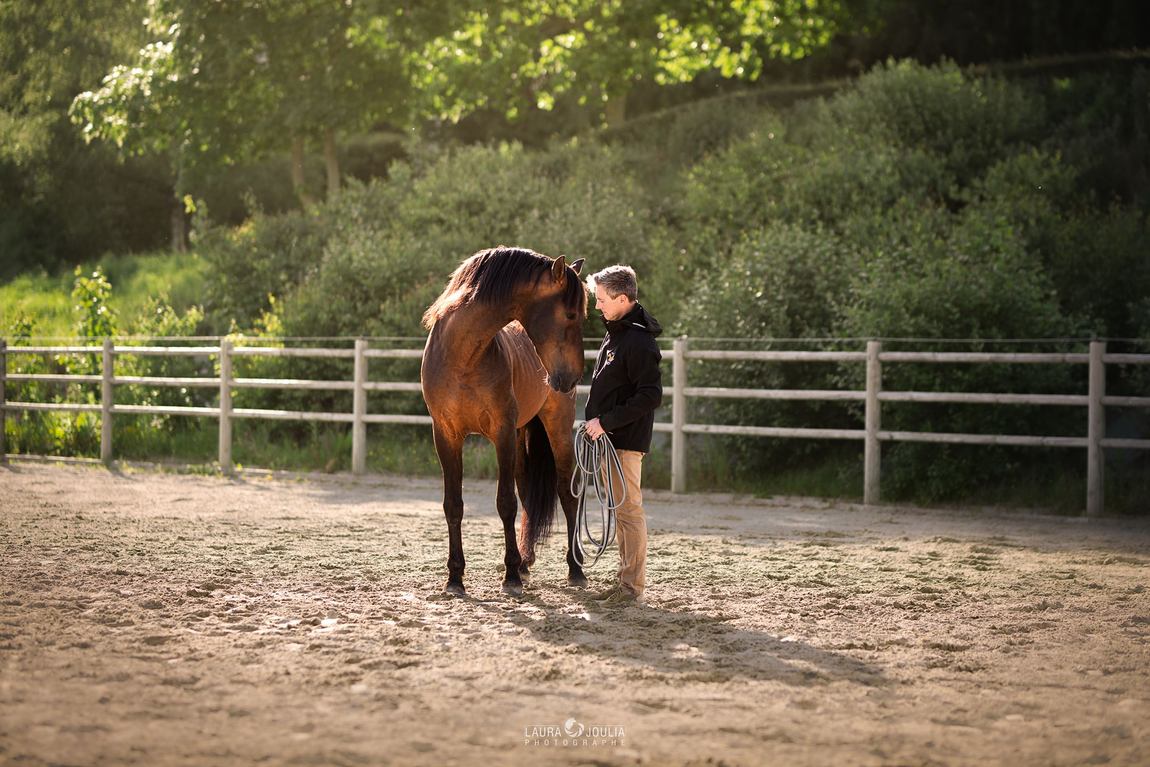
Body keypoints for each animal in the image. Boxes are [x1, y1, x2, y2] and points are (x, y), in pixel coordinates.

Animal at [420, 246, 588, 597]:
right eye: (570, 315)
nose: (570, 377)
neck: (463, 355)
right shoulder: (446, 435)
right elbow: (453, 505)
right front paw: (455, 577)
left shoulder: (502, 433)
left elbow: (506, 503)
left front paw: (510, 575)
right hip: (522, 433)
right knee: (527, 492)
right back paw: (525, 562)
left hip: (557, 428)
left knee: (567, 493)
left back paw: (574, 569)